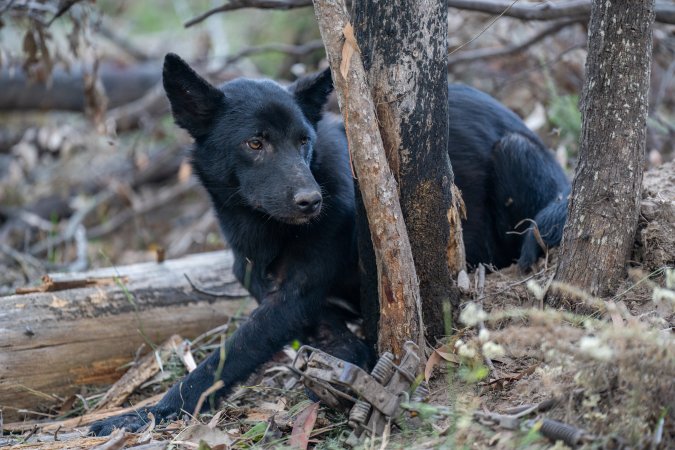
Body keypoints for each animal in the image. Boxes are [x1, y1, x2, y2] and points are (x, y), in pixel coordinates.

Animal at [88, 53, 564, 436]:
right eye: (254, 143)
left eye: (304, 141)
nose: (312, 201)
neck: (264, 229)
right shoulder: (276, 291)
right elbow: (323, 335)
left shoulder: (292, 297)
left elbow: (223, 359)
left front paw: (145, 415)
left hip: (515, 152)